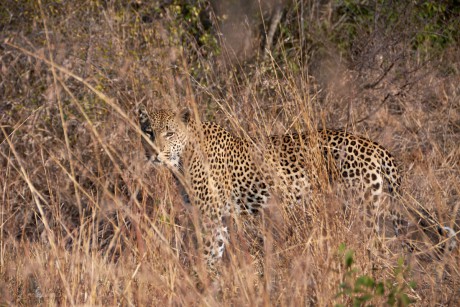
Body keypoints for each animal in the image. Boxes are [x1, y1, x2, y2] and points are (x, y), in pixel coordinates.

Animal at [138, 106, 454, 270]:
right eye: (148, 132)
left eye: (169, 133)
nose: (154, 152)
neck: (182, 158)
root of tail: (375, 146)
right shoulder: (219, 218)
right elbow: (214, 253)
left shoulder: (210, 217)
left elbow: (205, 256)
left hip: (365, 212)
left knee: (376, 250)